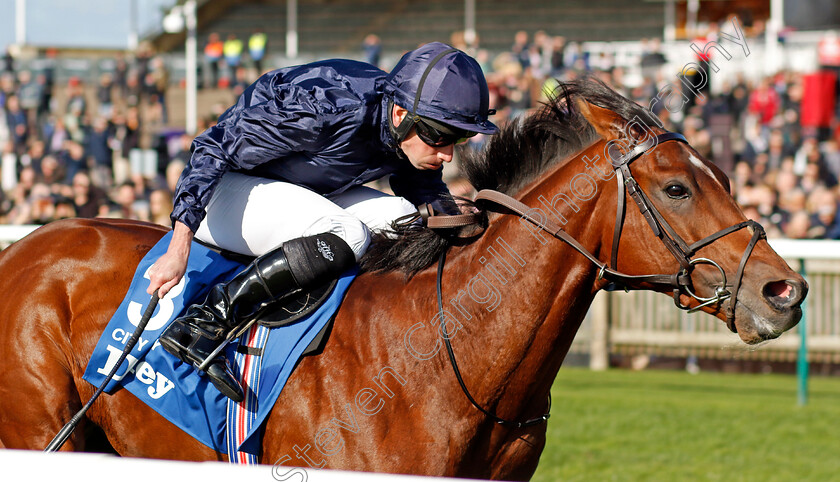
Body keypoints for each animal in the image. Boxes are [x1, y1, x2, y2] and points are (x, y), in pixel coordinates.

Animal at [0, 81, 808, 480]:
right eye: (675, 187)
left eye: (725, 173)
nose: (785, 292)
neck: (449, 362)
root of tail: (27, 247)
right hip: (43, 435)